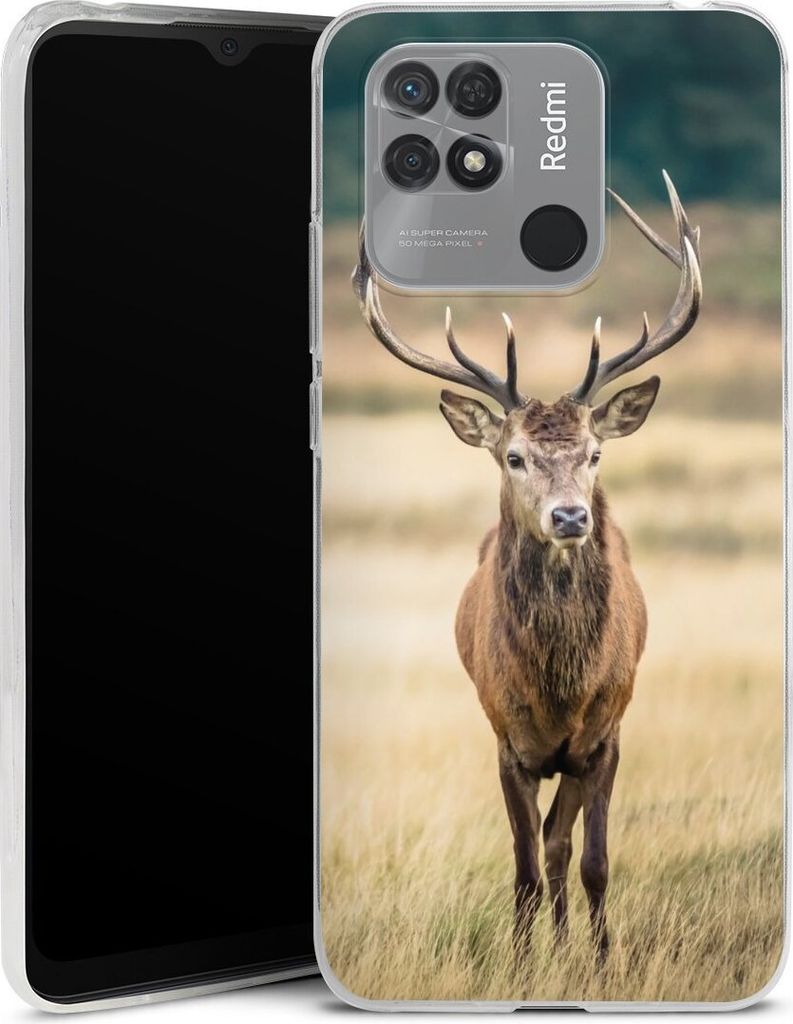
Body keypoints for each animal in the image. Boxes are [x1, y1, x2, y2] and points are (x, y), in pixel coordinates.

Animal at [352, 172, 702, 962]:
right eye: (513, 457)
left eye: (595, 454)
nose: (570, 516)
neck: (558, 690)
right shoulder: (506, 741)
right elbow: (520, 868)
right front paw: (518, 963)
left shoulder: (604, 735)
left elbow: (591, 860)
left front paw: (600, 962)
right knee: (542, 848)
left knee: (560, 843)